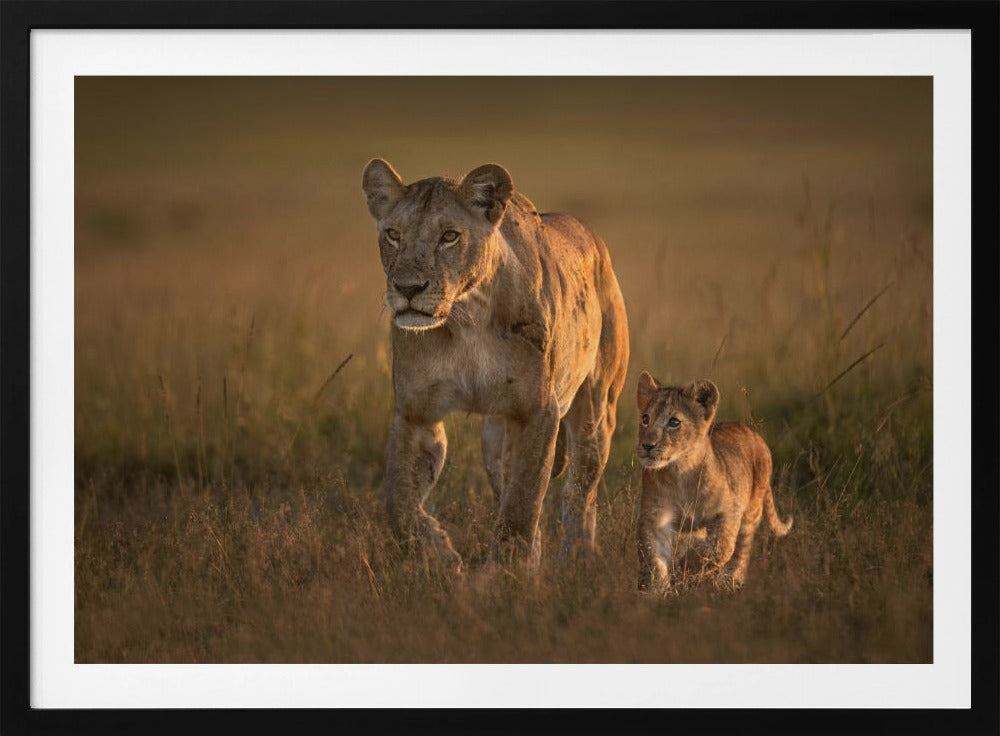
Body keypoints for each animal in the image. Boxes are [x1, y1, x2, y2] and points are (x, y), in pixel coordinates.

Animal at [361, 158, 629, 572]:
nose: (407, 288)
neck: (466, 318)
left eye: (449, 236)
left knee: (580, 491)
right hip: (494, 438)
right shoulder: (415, 413)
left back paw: (578, 559)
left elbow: (521, 504)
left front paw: (506, 574)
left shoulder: (537, 411)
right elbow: (400, 503)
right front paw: (438, 556)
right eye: (393, 234)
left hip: (596, 411)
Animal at [634, 372, 792, 591]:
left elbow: (720, 546)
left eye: (674, 422)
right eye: (645, 418)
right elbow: (654, 558)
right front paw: (655, 590)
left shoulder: (729, 511)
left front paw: (683, 567)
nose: (647, 445)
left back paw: (729, 582)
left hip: (751, 510)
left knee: (741, 551)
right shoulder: (655, 517)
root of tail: (754, 434)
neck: (680, 472)